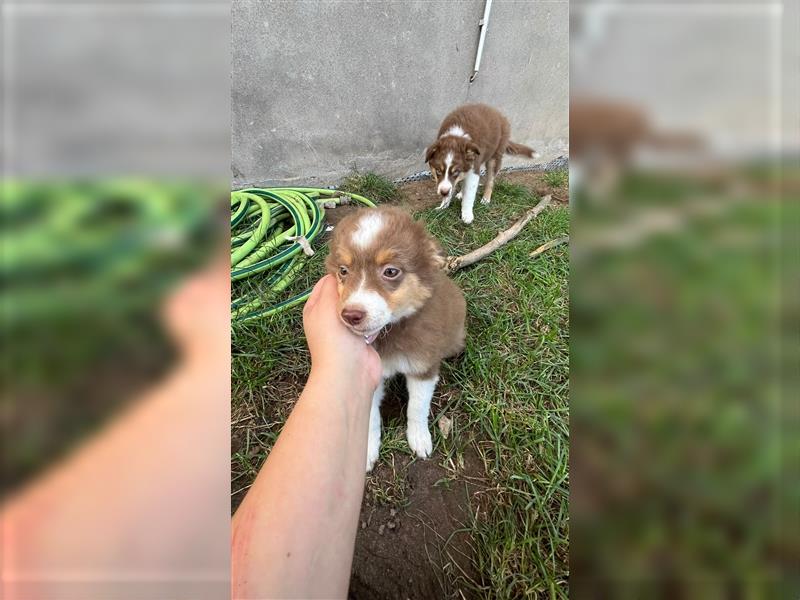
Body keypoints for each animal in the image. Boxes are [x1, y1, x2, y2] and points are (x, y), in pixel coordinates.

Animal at [324, 209, 462, 472]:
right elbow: (370, 418)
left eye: (390, 271)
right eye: (343, 271)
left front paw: (419, 439)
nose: (351, 315)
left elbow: (417, 407)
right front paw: (367, 450)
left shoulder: (423, 366)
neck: (391, 331)